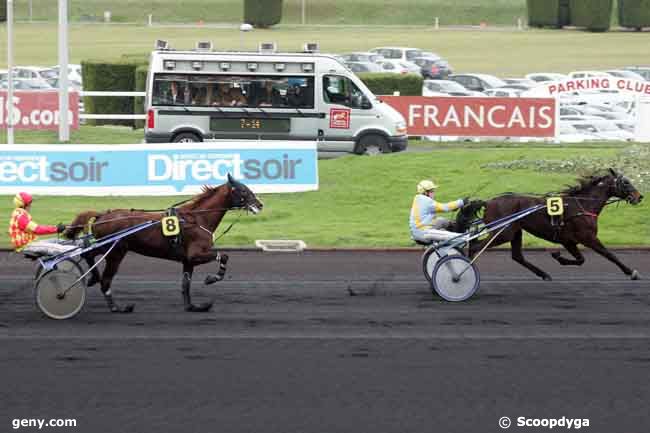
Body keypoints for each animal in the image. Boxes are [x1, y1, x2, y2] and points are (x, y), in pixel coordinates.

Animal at [62, 174, 260, 312]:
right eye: (243, 190)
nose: (260, 205)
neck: (197, 218)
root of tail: (103, 215)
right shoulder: (196, 254)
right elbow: (224, 255)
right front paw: (212, 278)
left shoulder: (188, 261)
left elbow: (186, 284)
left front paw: (193, 307)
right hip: (116, 251)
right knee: (105, 278)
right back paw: (117, 307)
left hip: (107, 246)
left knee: (88, 253)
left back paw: (93, 278)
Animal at [466, 169, 644, 280]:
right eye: (625, 182)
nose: (639, 196)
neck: (583, 205)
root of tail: (488, 202)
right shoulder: (588, 238)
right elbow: (609, 254)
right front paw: (631, 272)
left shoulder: (569, 241)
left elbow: (581, 260)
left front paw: (558, 256)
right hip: (503, 233)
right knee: (475, 246)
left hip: (515, 232)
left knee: (517, 256)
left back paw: (544, 274)